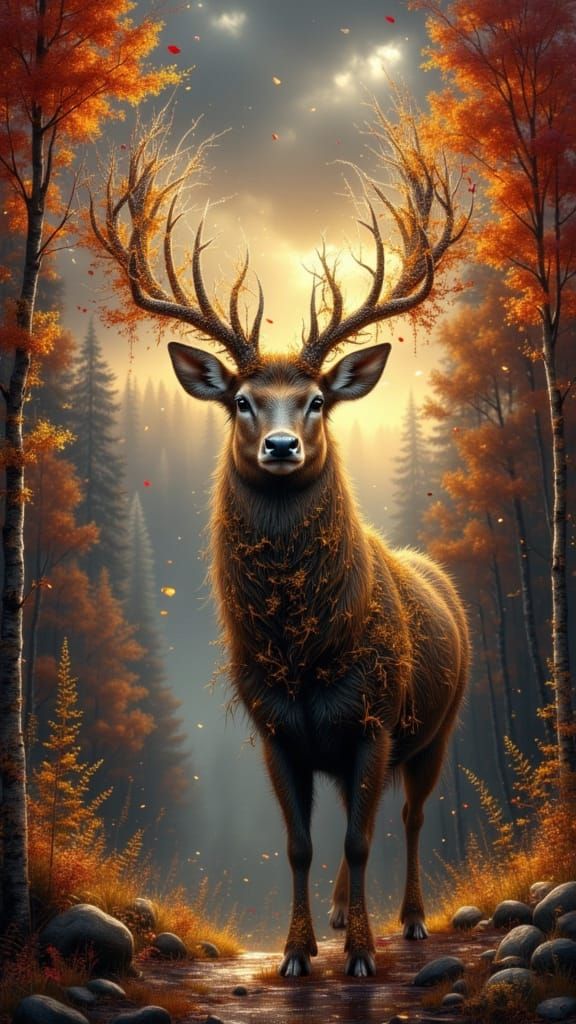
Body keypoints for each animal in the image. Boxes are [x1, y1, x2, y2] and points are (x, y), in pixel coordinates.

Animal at [90, 103, 471, 979]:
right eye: (240, 400)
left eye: (317, 401)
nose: (282, 447)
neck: (308, 653)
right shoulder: (275, 731)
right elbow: (300, 844)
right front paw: (299, 953)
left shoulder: (373, 718)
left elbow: (362, 841)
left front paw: (361, 956)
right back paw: (332, 914)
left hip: (437, 725)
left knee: (410, 819)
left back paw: (409, 920)